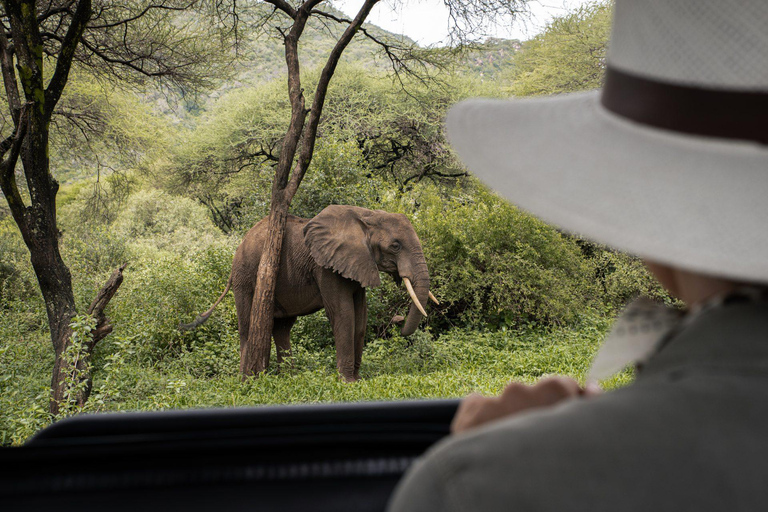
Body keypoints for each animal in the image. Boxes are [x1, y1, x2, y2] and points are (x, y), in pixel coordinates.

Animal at [177, 206, 436, 382]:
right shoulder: (325, 267)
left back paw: (287, 377)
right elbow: (344, 314)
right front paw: (348, 382)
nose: (398, 323)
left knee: (282, 327)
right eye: (395, 246)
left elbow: (360, 317)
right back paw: (248, 380)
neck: (366, 215)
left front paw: (358, 378)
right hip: (246, 276)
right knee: (249, 325)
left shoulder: (357, 263)